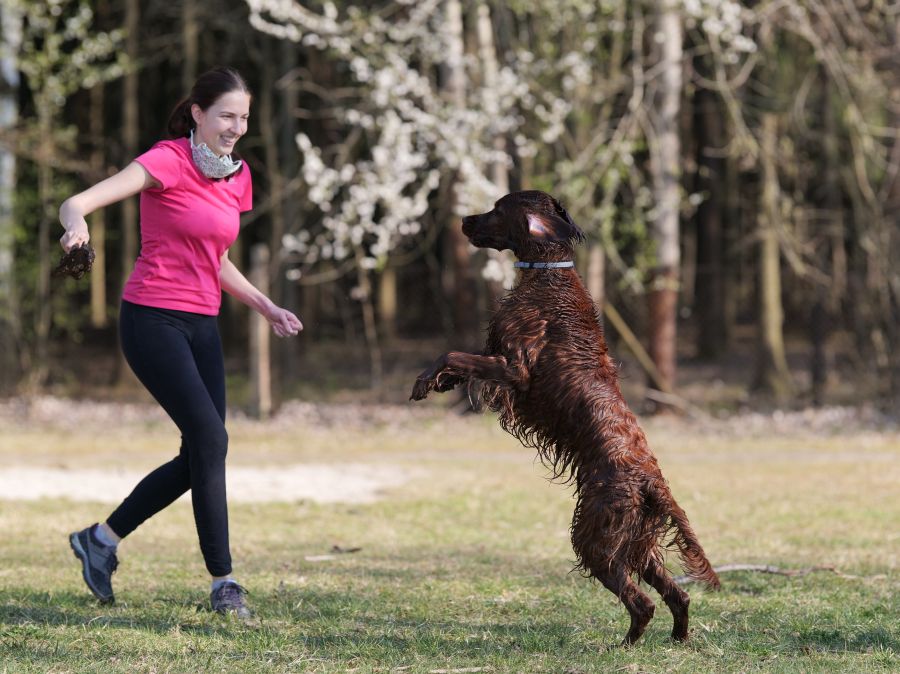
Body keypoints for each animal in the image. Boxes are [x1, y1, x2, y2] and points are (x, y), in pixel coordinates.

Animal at [412, 190, 720, 644]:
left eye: (497, 209)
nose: (464, 220)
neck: (547, 274)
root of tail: (652, 483)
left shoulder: (514, 368)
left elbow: (452, 353)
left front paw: (424, 380)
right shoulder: (496, 357)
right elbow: (461, 361)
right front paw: (440, 382)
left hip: (594, 536)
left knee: (642, 602)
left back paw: (622, 647)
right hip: (635, 542)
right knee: (676, 595)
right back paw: (678, 641)